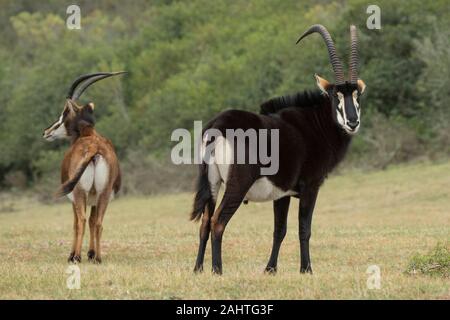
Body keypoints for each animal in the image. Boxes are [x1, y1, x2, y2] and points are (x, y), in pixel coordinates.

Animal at [43, 72, 125, 262]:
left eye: (64, 114)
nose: (46, 132)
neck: (88, 134)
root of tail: (94, 149)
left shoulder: (73, 198)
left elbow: (76, 223)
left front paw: (74, 254)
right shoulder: (94, 197)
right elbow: (93, 221)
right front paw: (91, 253)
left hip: (80, 192)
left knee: (81, 220)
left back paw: (76, 257)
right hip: (103, 193)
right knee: (99, 222)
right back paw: (98, 258)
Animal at [190, 25, 366, 276]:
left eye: (358, 95)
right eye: (336, 95)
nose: (352, 122)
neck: (315, 123)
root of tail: (217, 126)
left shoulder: (282, 193)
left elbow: (279, 230)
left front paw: (270, 269)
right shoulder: (310, 187)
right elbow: (304, 229)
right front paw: (306, 269)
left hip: (212, 183)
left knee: (204, 222)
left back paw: (198, 269)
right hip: (237, 185)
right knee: (217, 221)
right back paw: (217, 270)